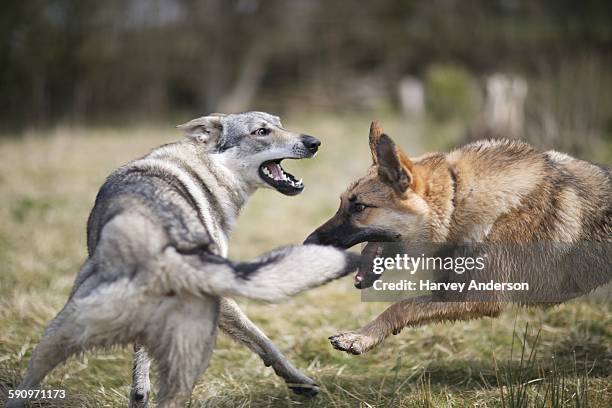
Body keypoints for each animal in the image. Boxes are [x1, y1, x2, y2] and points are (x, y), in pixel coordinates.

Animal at [8, 112, 358, 408]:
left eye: (280, 124)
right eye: (261, 132)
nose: (314, 142)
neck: (208, 167)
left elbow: (140, 369)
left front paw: (140, 393)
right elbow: (265, 342)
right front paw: (301, 383)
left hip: (53, 338)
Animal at [304, 121, 608, 354]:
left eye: (359, 208)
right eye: (341, 204)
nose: (308, 244)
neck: (457, 198)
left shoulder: (480, 298)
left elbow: (401, 306)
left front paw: (360, 338)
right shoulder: (452, 291)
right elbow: (407, 305)